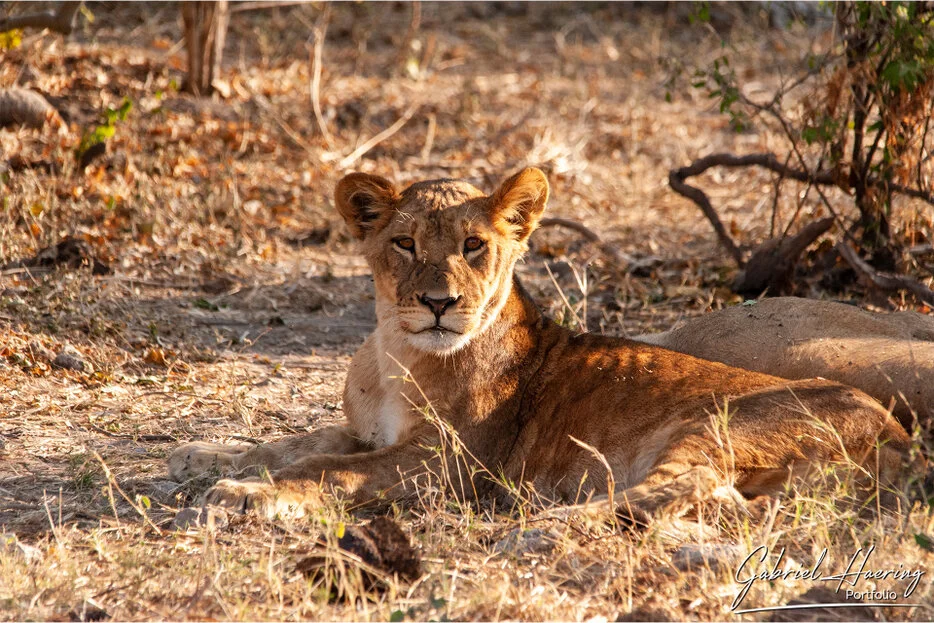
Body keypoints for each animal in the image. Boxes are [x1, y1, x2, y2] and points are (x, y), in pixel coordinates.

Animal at [169, 168, 911, 522]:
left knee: (684, 488)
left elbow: (327, 469)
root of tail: (902, 439)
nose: (438, 303)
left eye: (474, 246)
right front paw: (206, 457)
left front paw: (243, 493)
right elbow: (296, 442)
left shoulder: (449, 462)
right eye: (404, 243)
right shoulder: (371, 431)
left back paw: (548, 516)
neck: (394, 353)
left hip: (717, 423)